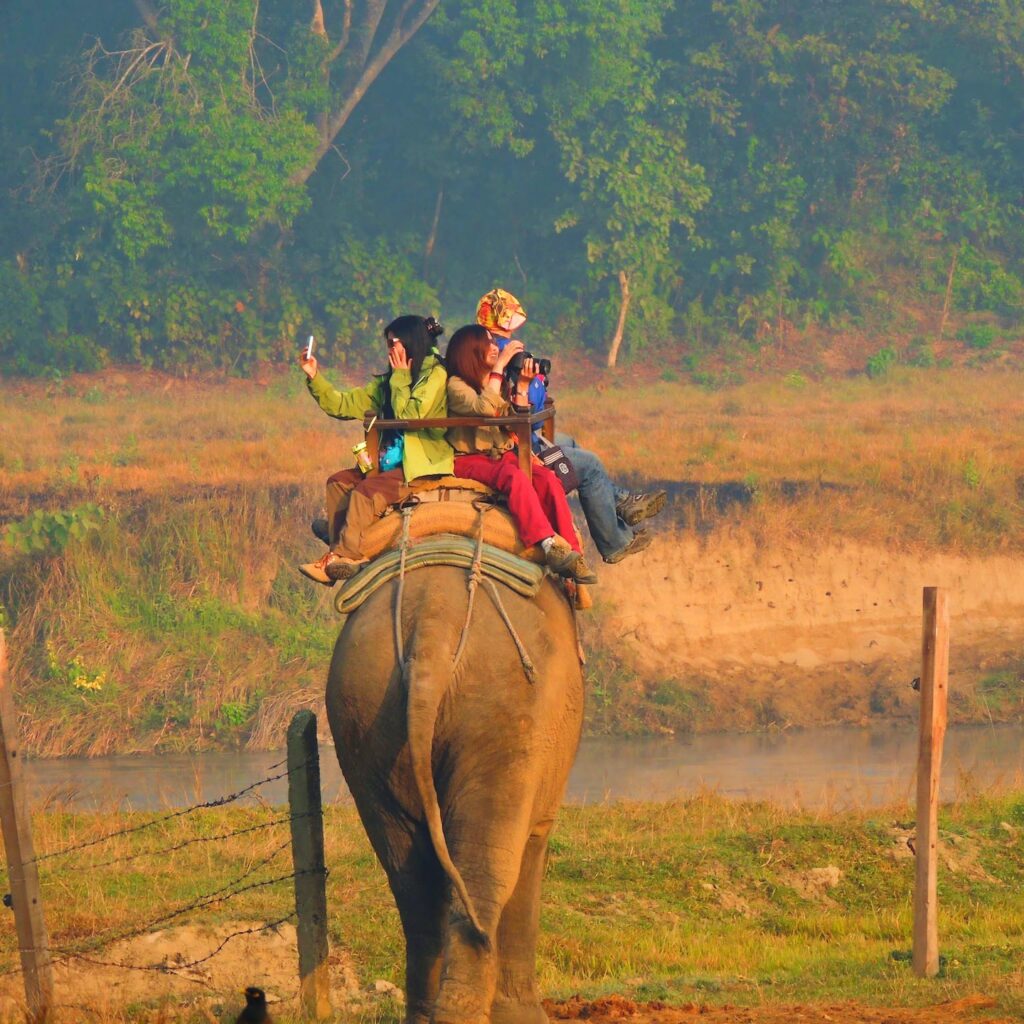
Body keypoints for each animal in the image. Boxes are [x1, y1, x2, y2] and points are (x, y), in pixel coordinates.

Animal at [327, 565, 585, 1019]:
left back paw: (428, 1014)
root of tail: (433, 625)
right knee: (486, 864)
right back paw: (461, 1012)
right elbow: (532, 847)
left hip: (363, 710)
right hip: (504, 712)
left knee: (409, 874)